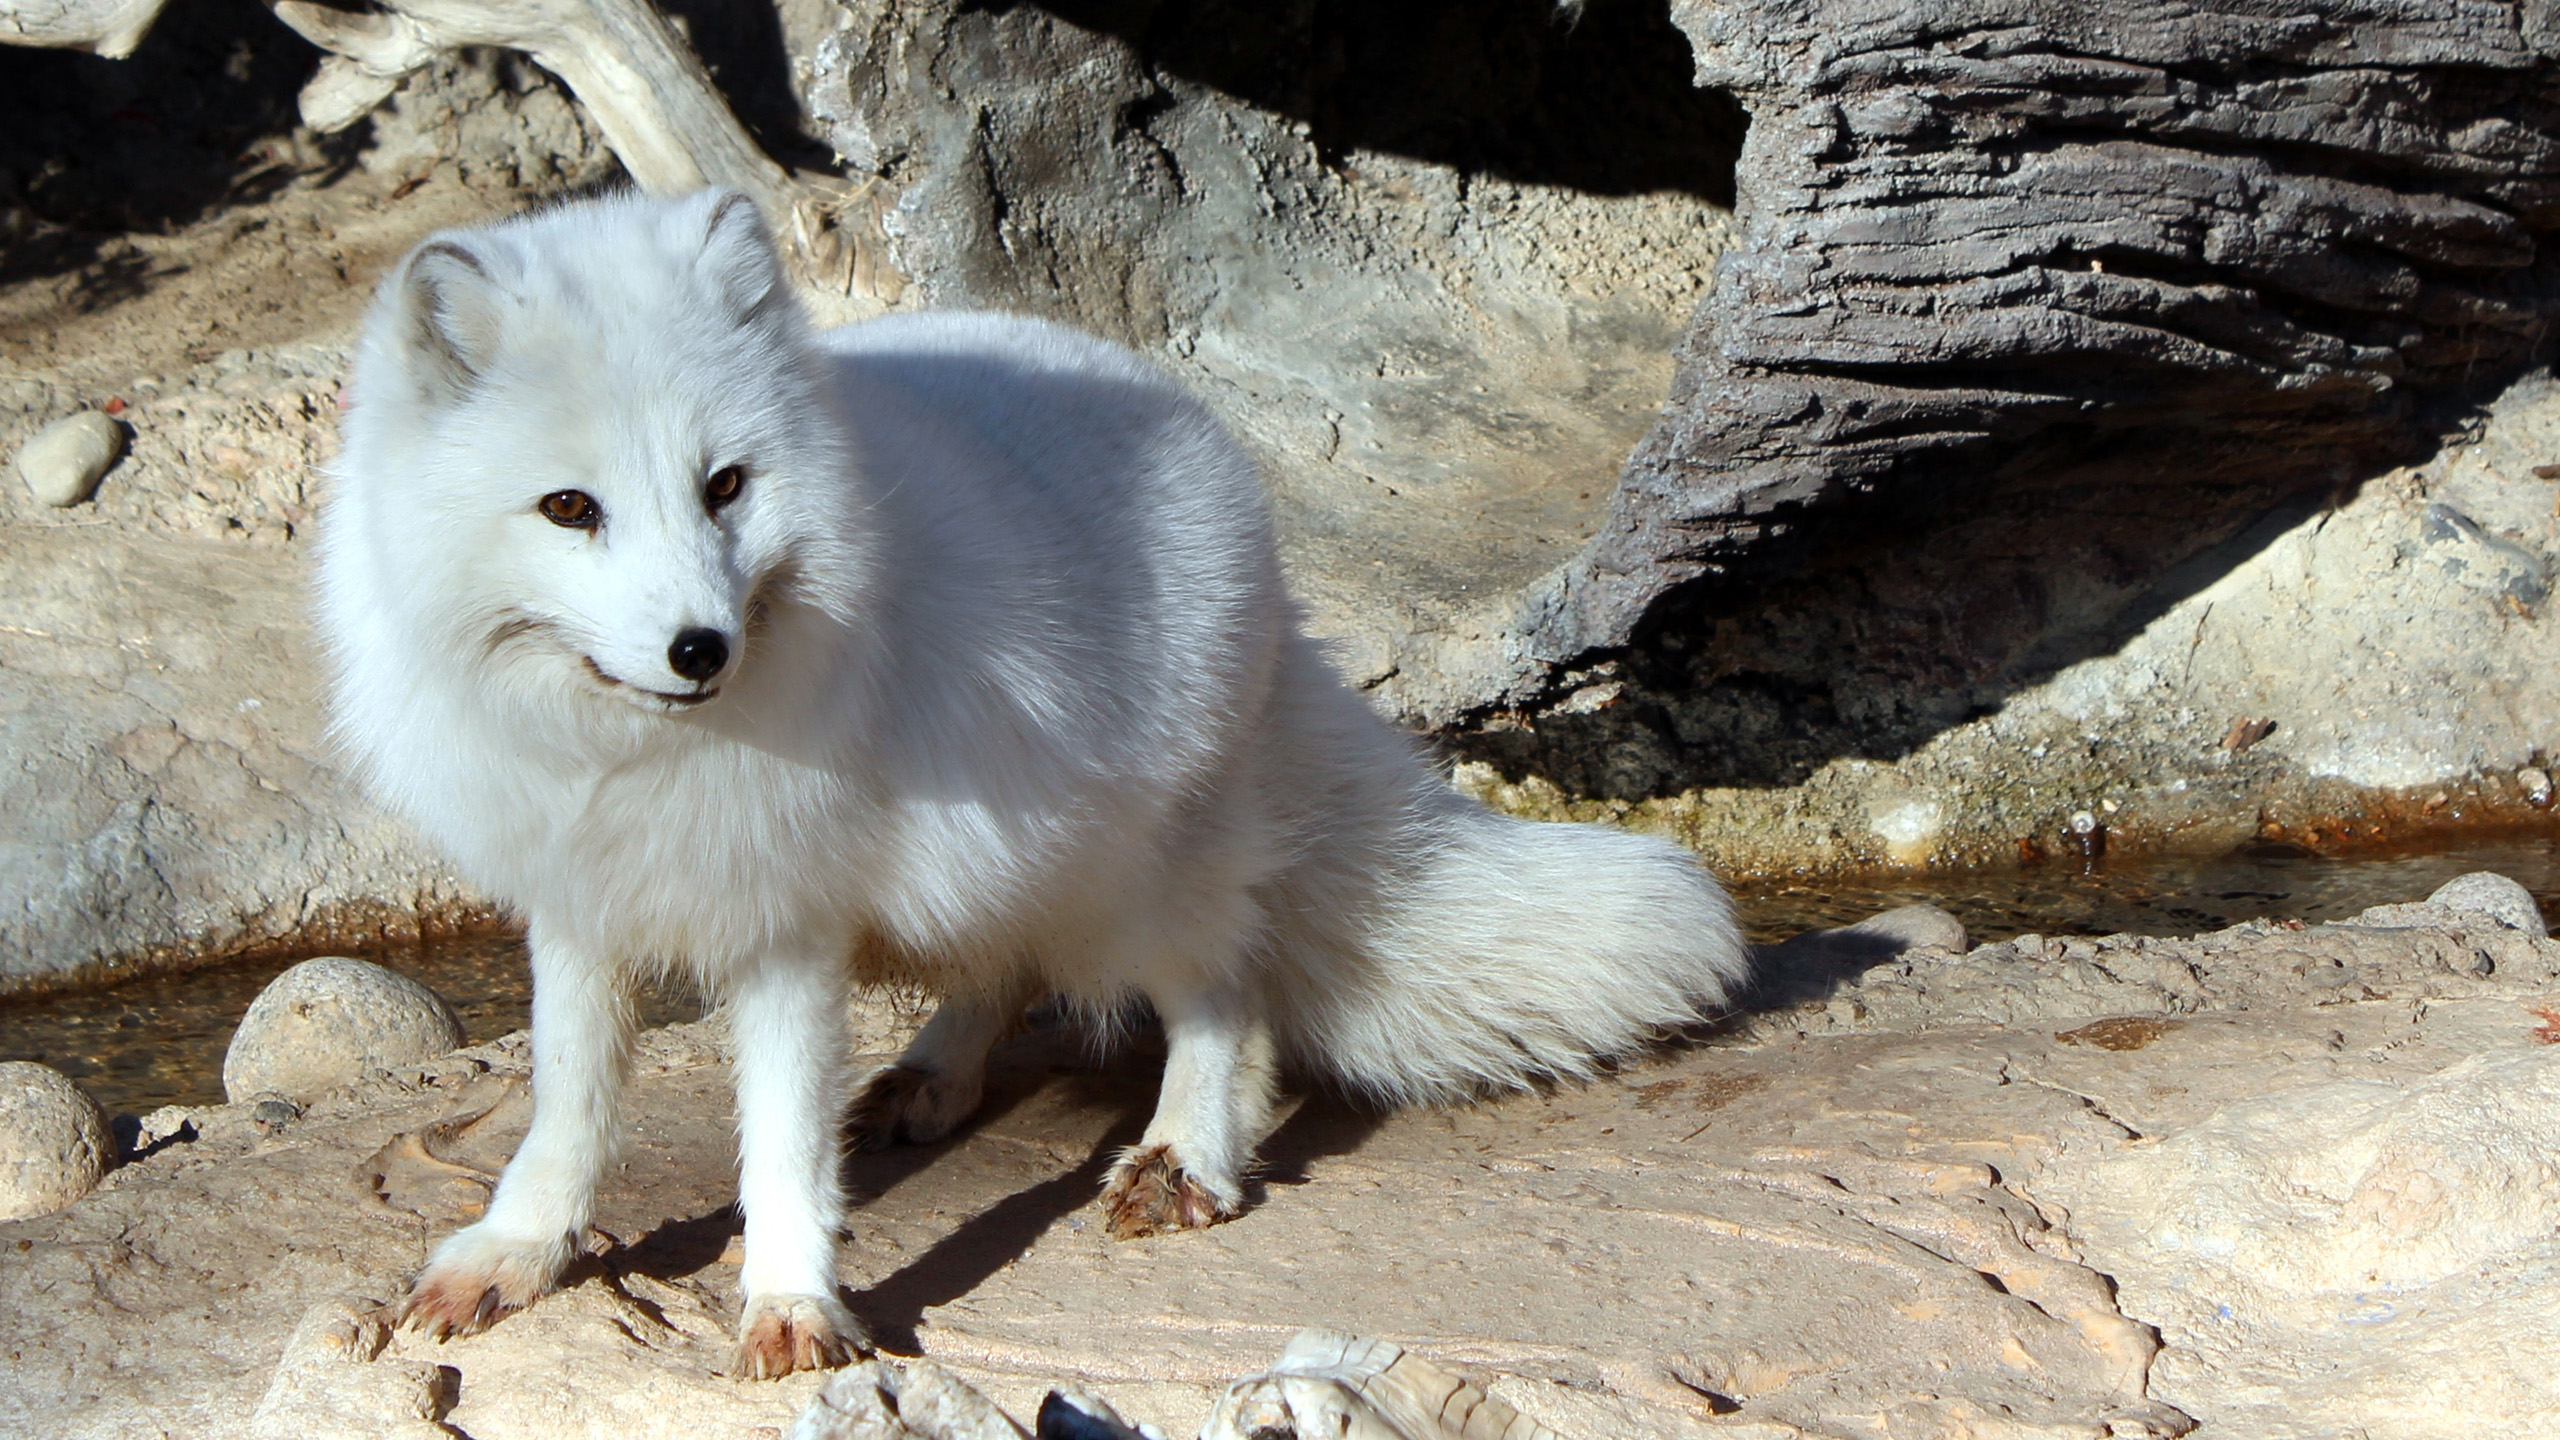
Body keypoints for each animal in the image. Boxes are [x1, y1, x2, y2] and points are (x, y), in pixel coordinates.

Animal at [314, 187, 1750, 1377]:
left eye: (724, 486)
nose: (699, 648)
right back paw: (934, 1079)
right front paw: (520, 1251)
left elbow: (778, 1142)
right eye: (570, 508)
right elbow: (567, 1104)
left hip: (1134, 867)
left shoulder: (787, 923)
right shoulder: (575, 900)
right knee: (1006, 960)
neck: (620, 752)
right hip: (1011, 846)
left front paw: (790, 1304)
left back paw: (1185, 1157)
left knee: (1229, 991)